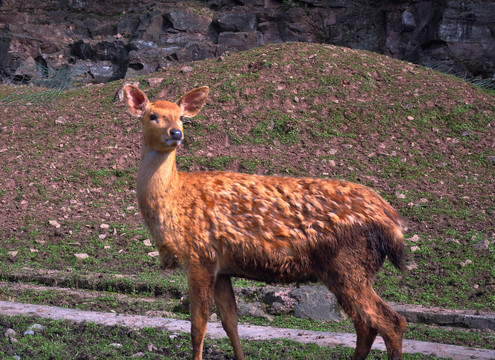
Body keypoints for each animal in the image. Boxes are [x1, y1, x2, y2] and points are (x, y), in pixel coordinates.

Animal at [123, 85, 406, 360]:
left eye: (181, 117)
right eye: (152, 115)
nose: (176, 133)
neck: (174, 200)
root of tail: (393, 223)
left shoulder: (199, 256)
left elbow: (198, 326)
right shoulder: (221, 267)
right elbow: (230, 322)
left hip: (348, 263)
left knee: (390, 322)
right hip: (348, 269)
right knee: (367, 325)